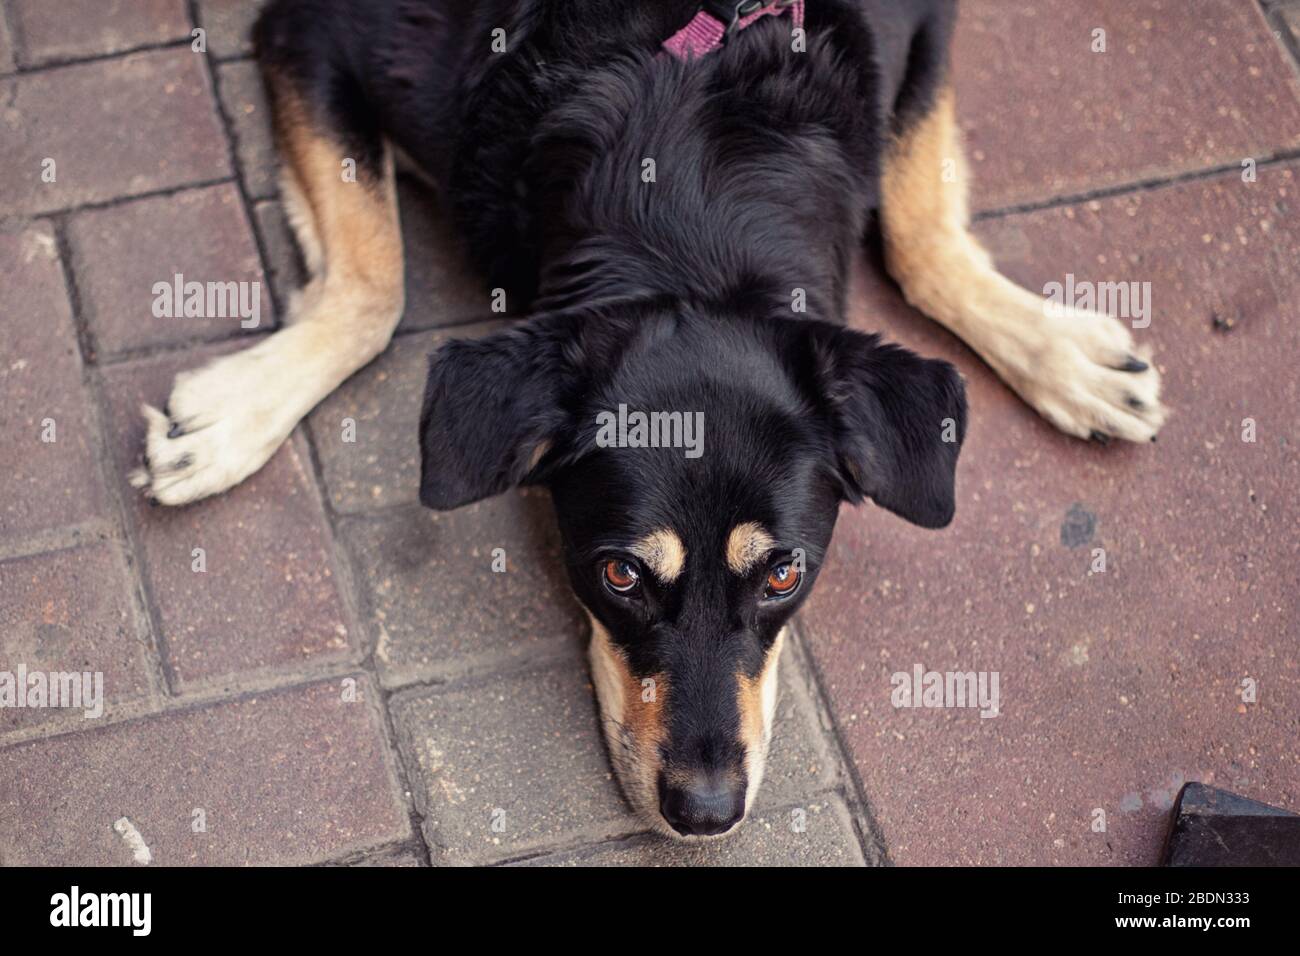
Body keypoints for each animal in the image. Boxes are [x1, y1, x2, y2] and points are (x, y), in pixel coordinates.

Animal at [131, 0, 1170, 837]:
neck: (690, 200)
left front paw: (1058, 348)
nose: (706, 813)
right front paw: (232, 414)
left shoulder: (926, 29)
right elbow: (370, 288)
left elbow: (919, 231)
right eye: (620, 575)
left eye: (785, 573)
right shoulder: (319, 29)